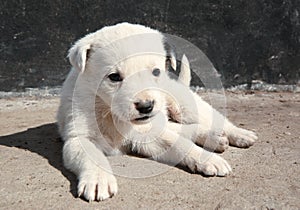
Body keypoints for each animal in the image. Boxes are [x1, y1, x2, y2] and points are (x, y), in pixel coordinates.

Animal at [56, 22, 258, 201]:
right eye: (114, 77)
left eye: (155, 72)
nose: (146, 106)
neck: (111, 114)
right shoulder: (79, 137)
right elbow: (92, 156)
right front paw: (99, 180)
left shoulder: (148, 135)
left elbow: (179, 144)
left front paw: (207, 158)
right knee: (180, 128)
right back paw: (215, 138)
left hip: (185, 106)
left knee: (210, 120)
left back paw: (239, 134)